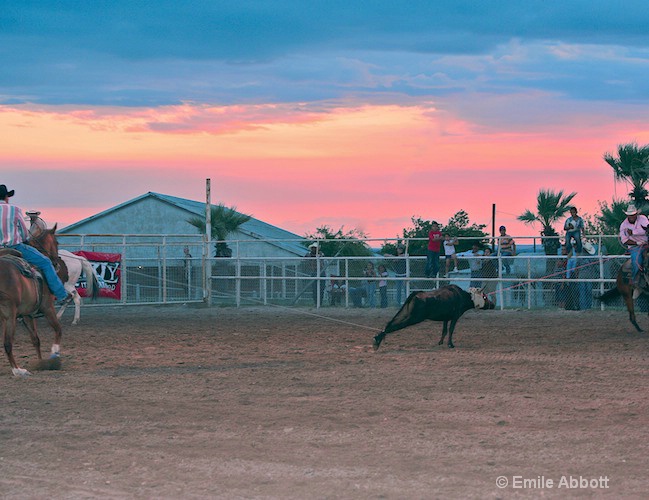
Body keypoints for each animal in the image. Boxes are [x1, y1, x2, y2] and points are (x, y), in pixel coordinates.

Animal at [0, 225, 65, 376]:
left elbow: (36, 340)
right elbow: (58, 329)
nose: (57, 264)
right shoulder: (48, 308)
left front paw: (40, 362)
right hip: (9, 314)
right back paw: (18, 370)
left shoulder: (27, 314)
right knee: (8, 343)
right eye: (56, 242)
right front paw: (54, 355)